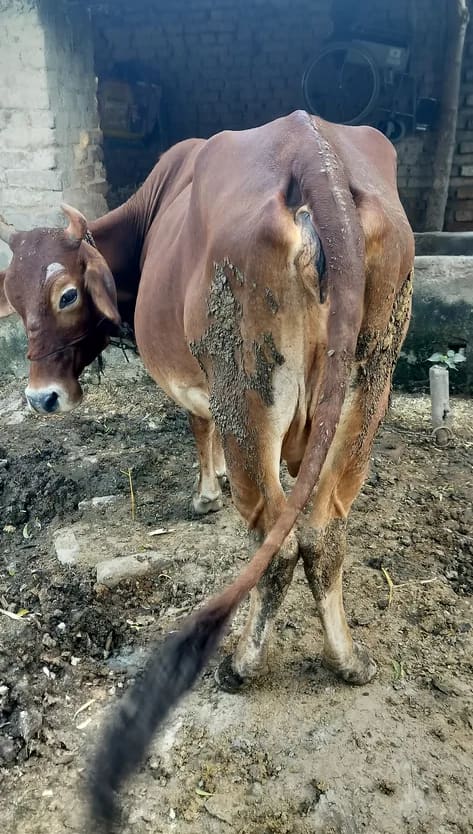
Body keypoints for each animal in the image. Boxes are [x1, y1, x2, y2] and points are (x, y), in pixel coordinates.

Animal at [0, 111, 414, 828]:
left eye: (66, 294)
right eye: (13, 297)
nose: (40, 398)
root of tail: (311, 146)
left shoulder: (193, 382)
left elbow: (200, 429)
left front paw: (203, 494)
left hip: (245, 386)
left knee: (276, 539)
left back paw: (243, 663)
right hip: (370, 379)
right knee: (323, 532)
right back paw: (346, 659)